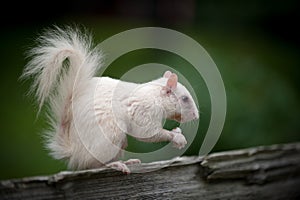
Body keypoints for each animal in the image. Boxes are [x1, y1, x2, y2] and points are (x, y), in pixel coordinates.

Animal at [21, 26, 199, 173]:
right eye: (184, 99)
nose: (196, 116)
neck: (155, 95)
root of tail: (73, 151)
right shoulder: (144, 110)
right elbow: (146, 133)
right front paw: (176, 137)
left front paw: (177, 132)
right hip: (110, 135)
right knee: (90, 165)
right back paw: (114, 164)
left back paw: (128, 162)